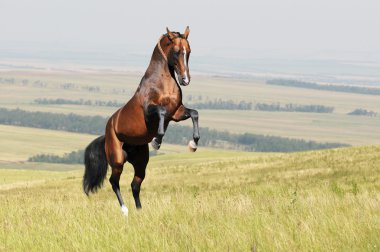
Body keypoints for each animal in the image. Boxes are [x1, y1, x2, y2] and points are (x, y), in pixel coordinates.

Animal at [82, 27, 200, 217]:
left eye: (188, 51)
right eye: (176, 51)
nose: (185, 80)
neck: (162, 83)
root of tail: (106, 133)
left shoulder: (176, 113)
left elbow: (195, 113)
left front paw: (193, 144)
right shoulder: (153, 112)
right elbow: (160, 114)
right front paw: (157, 141)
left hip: (140, 163)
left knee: (135, 185)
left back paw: (139, 211)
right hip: (117, 160)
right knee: (114, 182)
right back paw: (125, 210)